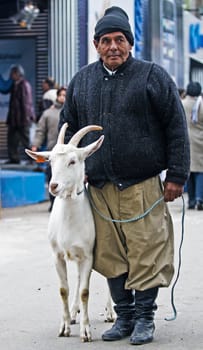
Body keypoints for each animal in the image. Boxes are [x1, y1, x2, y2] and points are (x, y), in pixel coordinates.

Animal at [25, 123, 114, 342]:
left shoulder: (89, 255)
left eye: (72, 161)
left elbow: (85, 292)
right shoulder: (58, 255)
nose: (53, 186)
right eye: (50, 161)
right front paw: (64, 326)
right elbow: (64, 290)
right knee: (78, 278)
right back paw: (74, 313)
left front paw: (86, 331)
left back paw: (110, 312)